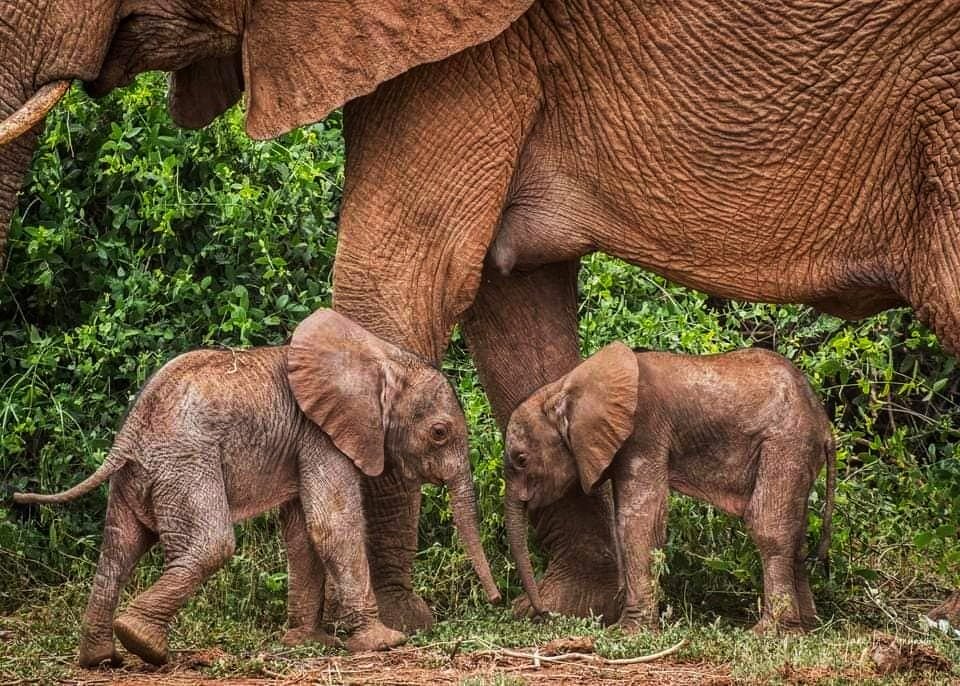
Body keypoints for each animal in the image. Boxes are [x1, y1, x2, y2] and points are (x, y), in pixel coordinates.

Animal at [12, 309, 500, 666]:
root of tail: (128, 433)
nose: (496, 600)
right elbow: (332, 525)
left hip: (141, 474)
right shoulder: (320, 435)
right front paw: (384, 642)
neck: (378, 359)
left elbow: (303, 534)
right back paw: (143, 644)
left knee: (118, 549)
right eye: (439, 433)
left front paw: (309, 642)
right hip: (185, 463)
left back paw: (102, 658)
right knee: (210, 544)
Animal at [503, 342, 837, 633]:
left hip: (786, 441)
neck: (563, 388)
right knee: (796, 534)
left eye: (520, 460)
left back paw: (769, 632)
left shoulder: (644, 431)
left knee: (768, 526)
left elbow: (638, 522)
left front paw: (628, 632)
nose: (542, 613)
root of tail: (824, 423)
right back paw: (806, 627)